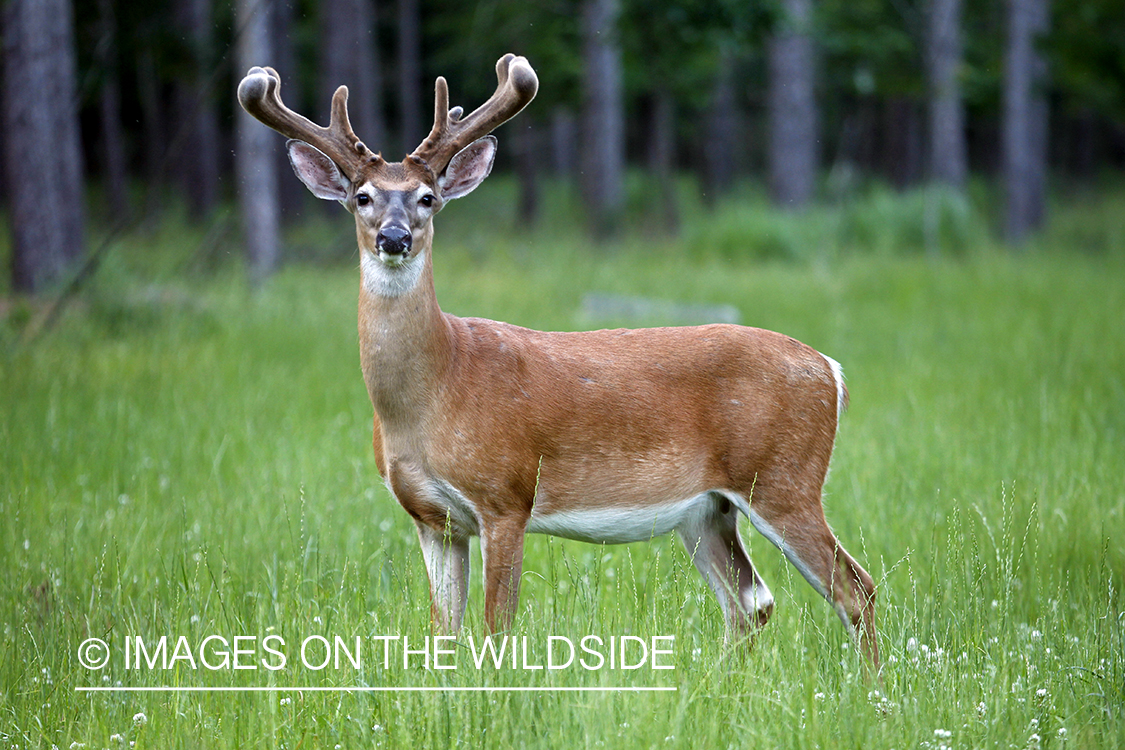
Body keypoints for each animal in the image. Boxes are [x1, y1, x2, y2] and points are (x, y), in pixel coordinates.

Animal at [241, 54, 882, 670]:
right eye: (362, 197)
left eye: (428, 198)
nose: (394, 238)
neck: (436, 389)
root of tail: (831, 371)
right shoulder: (430, 518)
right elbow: (442, 633)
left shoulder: (506, 494)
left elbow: (496, 627)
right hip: (706, 509)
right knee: (751, 601)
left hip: (783, 477)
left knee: (855, 588)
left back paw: (871, 689)